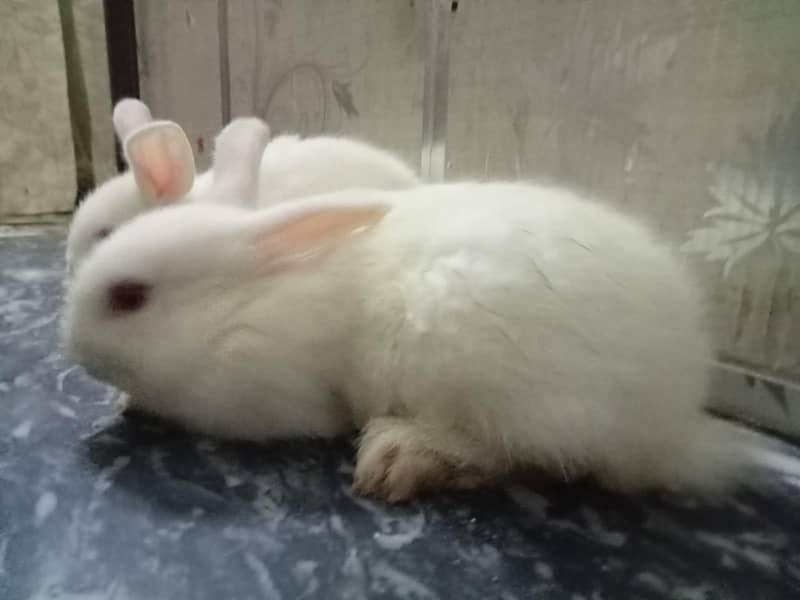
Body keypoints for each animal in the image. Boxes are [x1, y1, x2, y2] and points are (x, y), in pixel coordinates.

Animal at [62, 121, 765, 502]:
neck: (234, 306)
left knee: (528, 456)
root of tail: (670, 418)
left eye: (129, 297)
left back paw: (399, 456)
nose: (71, 346)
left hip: (497, 384)